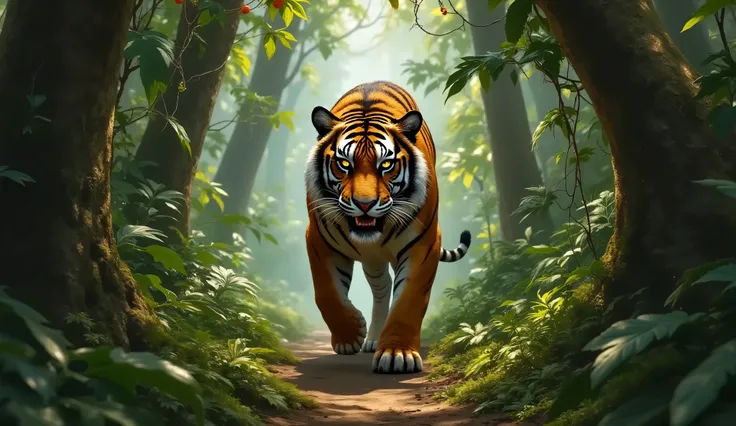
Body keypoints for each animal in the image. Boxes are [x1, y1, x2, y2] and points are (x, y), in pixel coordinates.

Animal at [304, 80, 472, 374]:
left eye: (386, 165)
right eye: (344, 164)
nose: (365, 204)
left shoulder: (424, 244)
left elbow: (408, 300)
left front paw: (397, 354)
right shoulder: (317, 240)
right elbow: (326, 292)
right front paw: (350, 336)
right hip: (373, 261)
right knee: (382, 288)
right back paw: (371, 338)